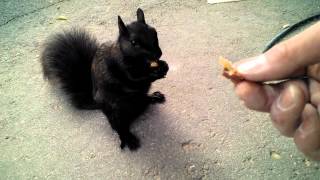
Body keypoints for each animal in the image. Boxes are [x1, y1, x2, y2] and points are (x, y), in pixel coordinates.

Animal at [41, 8, 169, 150]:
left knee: (144, 100)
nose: (158, 54)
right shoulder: (120, 68)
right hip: (115, 111)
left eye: (154, 32)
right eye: (134, 43)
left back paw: (154, 97)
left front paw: (163, 65)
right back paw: (127, 138)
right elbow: (134, 80)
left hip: (138, 98)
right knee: (117, 127)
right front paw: (156, 72)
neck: (140, 62)